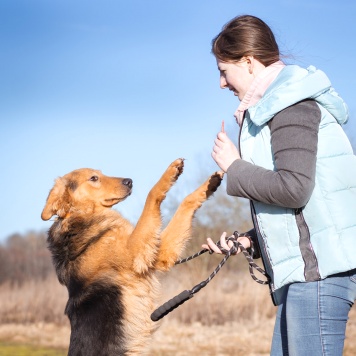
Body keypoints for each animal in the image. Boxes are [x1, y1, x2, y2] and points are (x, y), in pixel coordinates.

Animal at [41, 159, 222, 356]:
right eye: (94, 178)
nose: (129, 181)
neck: (82, 216)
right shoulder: (137, 252)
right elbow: (151, 194)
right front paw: (170, 173)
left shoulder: (159, 252)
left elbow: (186, 202)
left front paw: (210, 184)